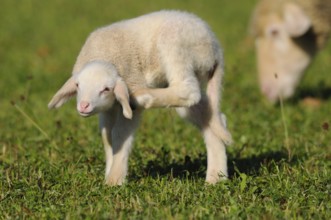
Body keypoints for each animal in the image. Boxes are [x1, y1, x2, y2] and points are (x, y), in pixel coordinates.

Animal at [48, 10, 233, 186]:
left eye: (106, 89)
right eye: (78, 85)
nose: (84, 105)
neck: (103, 54)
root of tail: (215, 48)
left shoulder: (130, 89)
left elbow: (119, 134)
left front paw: (114, 180)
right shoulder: (108, 109)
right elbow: (107, 137)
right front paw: (109, 171)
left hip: (176, 47)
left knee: (188, 90)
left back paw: (141, 97)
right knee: (209, 113)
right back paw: (216, 178)